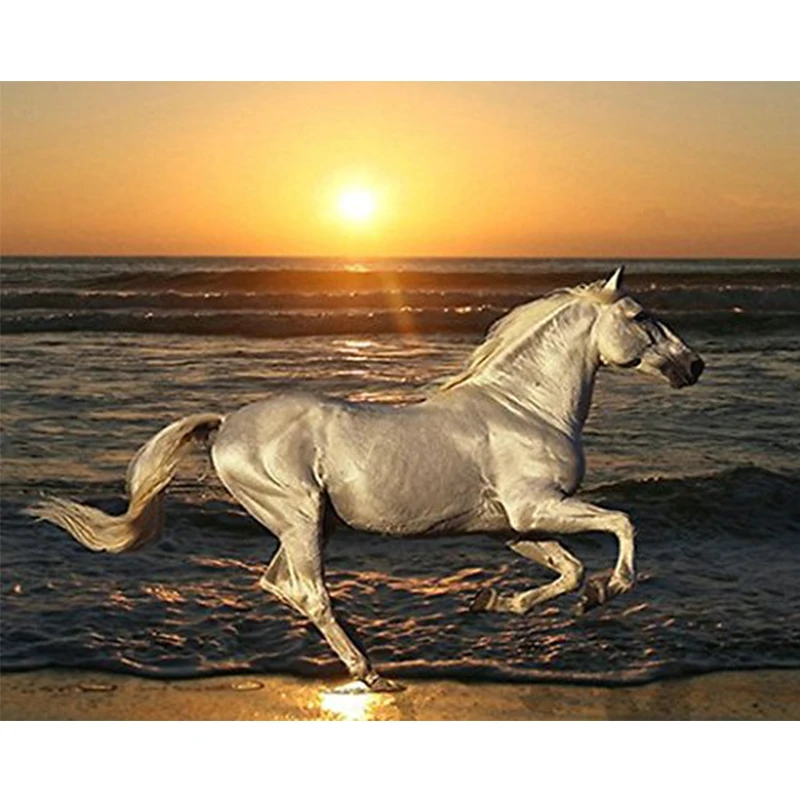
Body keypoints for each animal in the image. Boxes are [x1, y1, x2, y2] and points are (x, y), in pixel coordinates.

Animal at [27, 266, 704, 692]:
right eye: (643, 315)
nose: (694, 365)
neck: (524, 406)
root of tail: (225, 426)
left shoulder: (510, 527)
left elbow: (568, 570)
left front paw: (497, 601)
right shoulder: (536, 508)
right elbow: (621, 526)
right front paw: (610, 591)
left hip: (307, 524)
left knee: (279, 584)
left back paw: (366, 654)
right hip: (300, 517)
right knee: (308, 593)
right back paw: (370, 670)